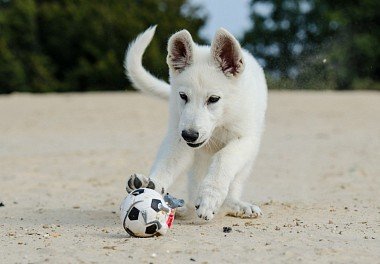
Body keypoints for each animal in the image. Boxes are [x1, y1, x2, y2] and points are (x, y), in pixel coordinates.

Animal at [124, 26, 268, 221]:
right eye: (183, 96)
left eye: (213, 99)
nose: (190, 135)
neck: (221, 121)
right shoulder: (178, 138)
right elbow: (165, 166)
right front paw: (151, 186)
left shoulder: (245, 139)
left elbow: (224, 159)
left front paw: (210, 197)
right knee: (193, 192)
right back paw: (184, 208)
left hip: (247, 161)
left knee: (234, 184)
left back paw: (235, 205)